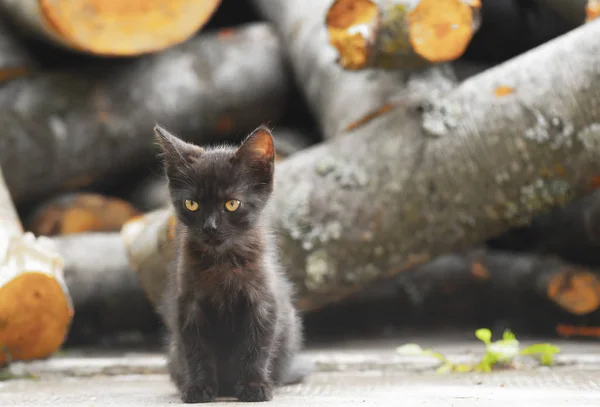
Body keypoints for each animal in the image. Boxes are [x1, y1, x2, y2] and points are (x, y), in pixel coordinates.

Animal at [155, 125, 304, 404]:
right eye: (192, 204)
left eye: (232, 204)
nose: (210, 227)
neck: (221, 262)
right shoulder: (189, 305)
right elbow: (196, 349)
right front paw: (199, 387)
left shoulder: (263, 302)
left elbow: (256, 346)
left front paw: (253, 385)